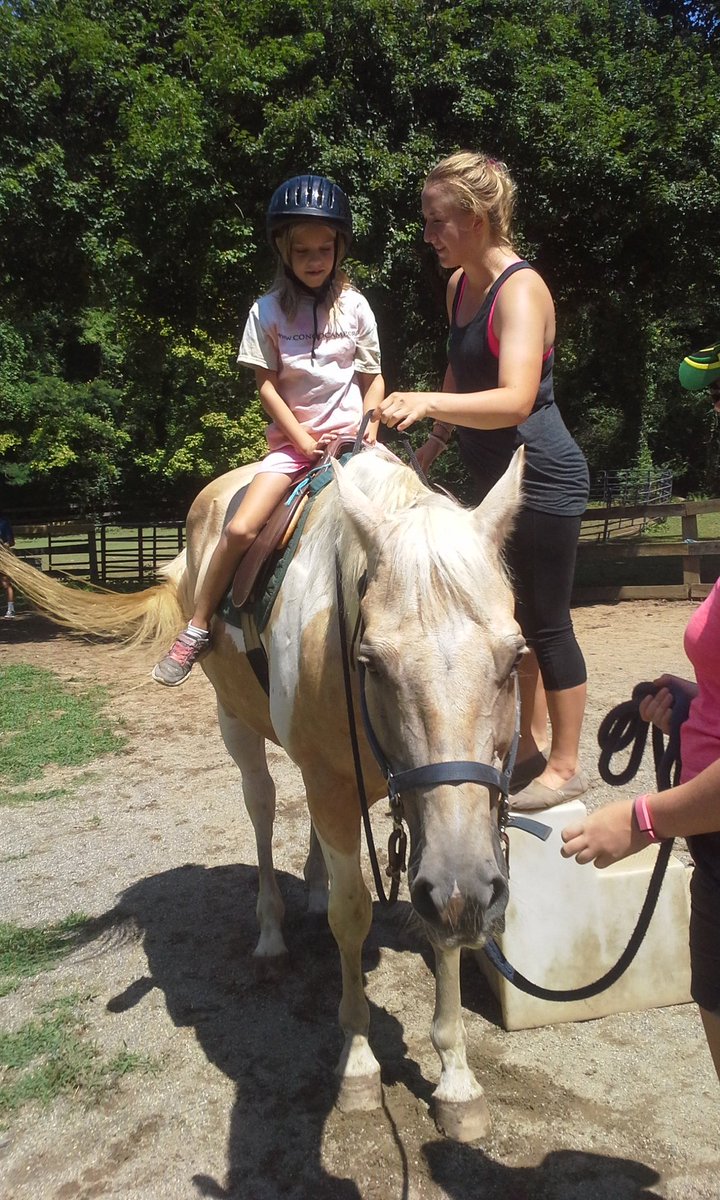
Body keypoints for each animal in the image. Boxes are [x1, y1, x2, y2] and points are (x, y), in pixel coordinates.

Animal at [0, 445, 525, 1141]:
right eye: (372, 662)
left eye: (515, 657)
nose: (469, 893)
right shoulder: (345, 786)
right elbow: (352, 915)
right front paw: (358, 1066)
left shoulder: (440, 816)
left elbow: (439, 928)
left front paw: (458, 1080)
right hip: (237, 725)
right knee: (264, 807)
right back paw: (272, 933)